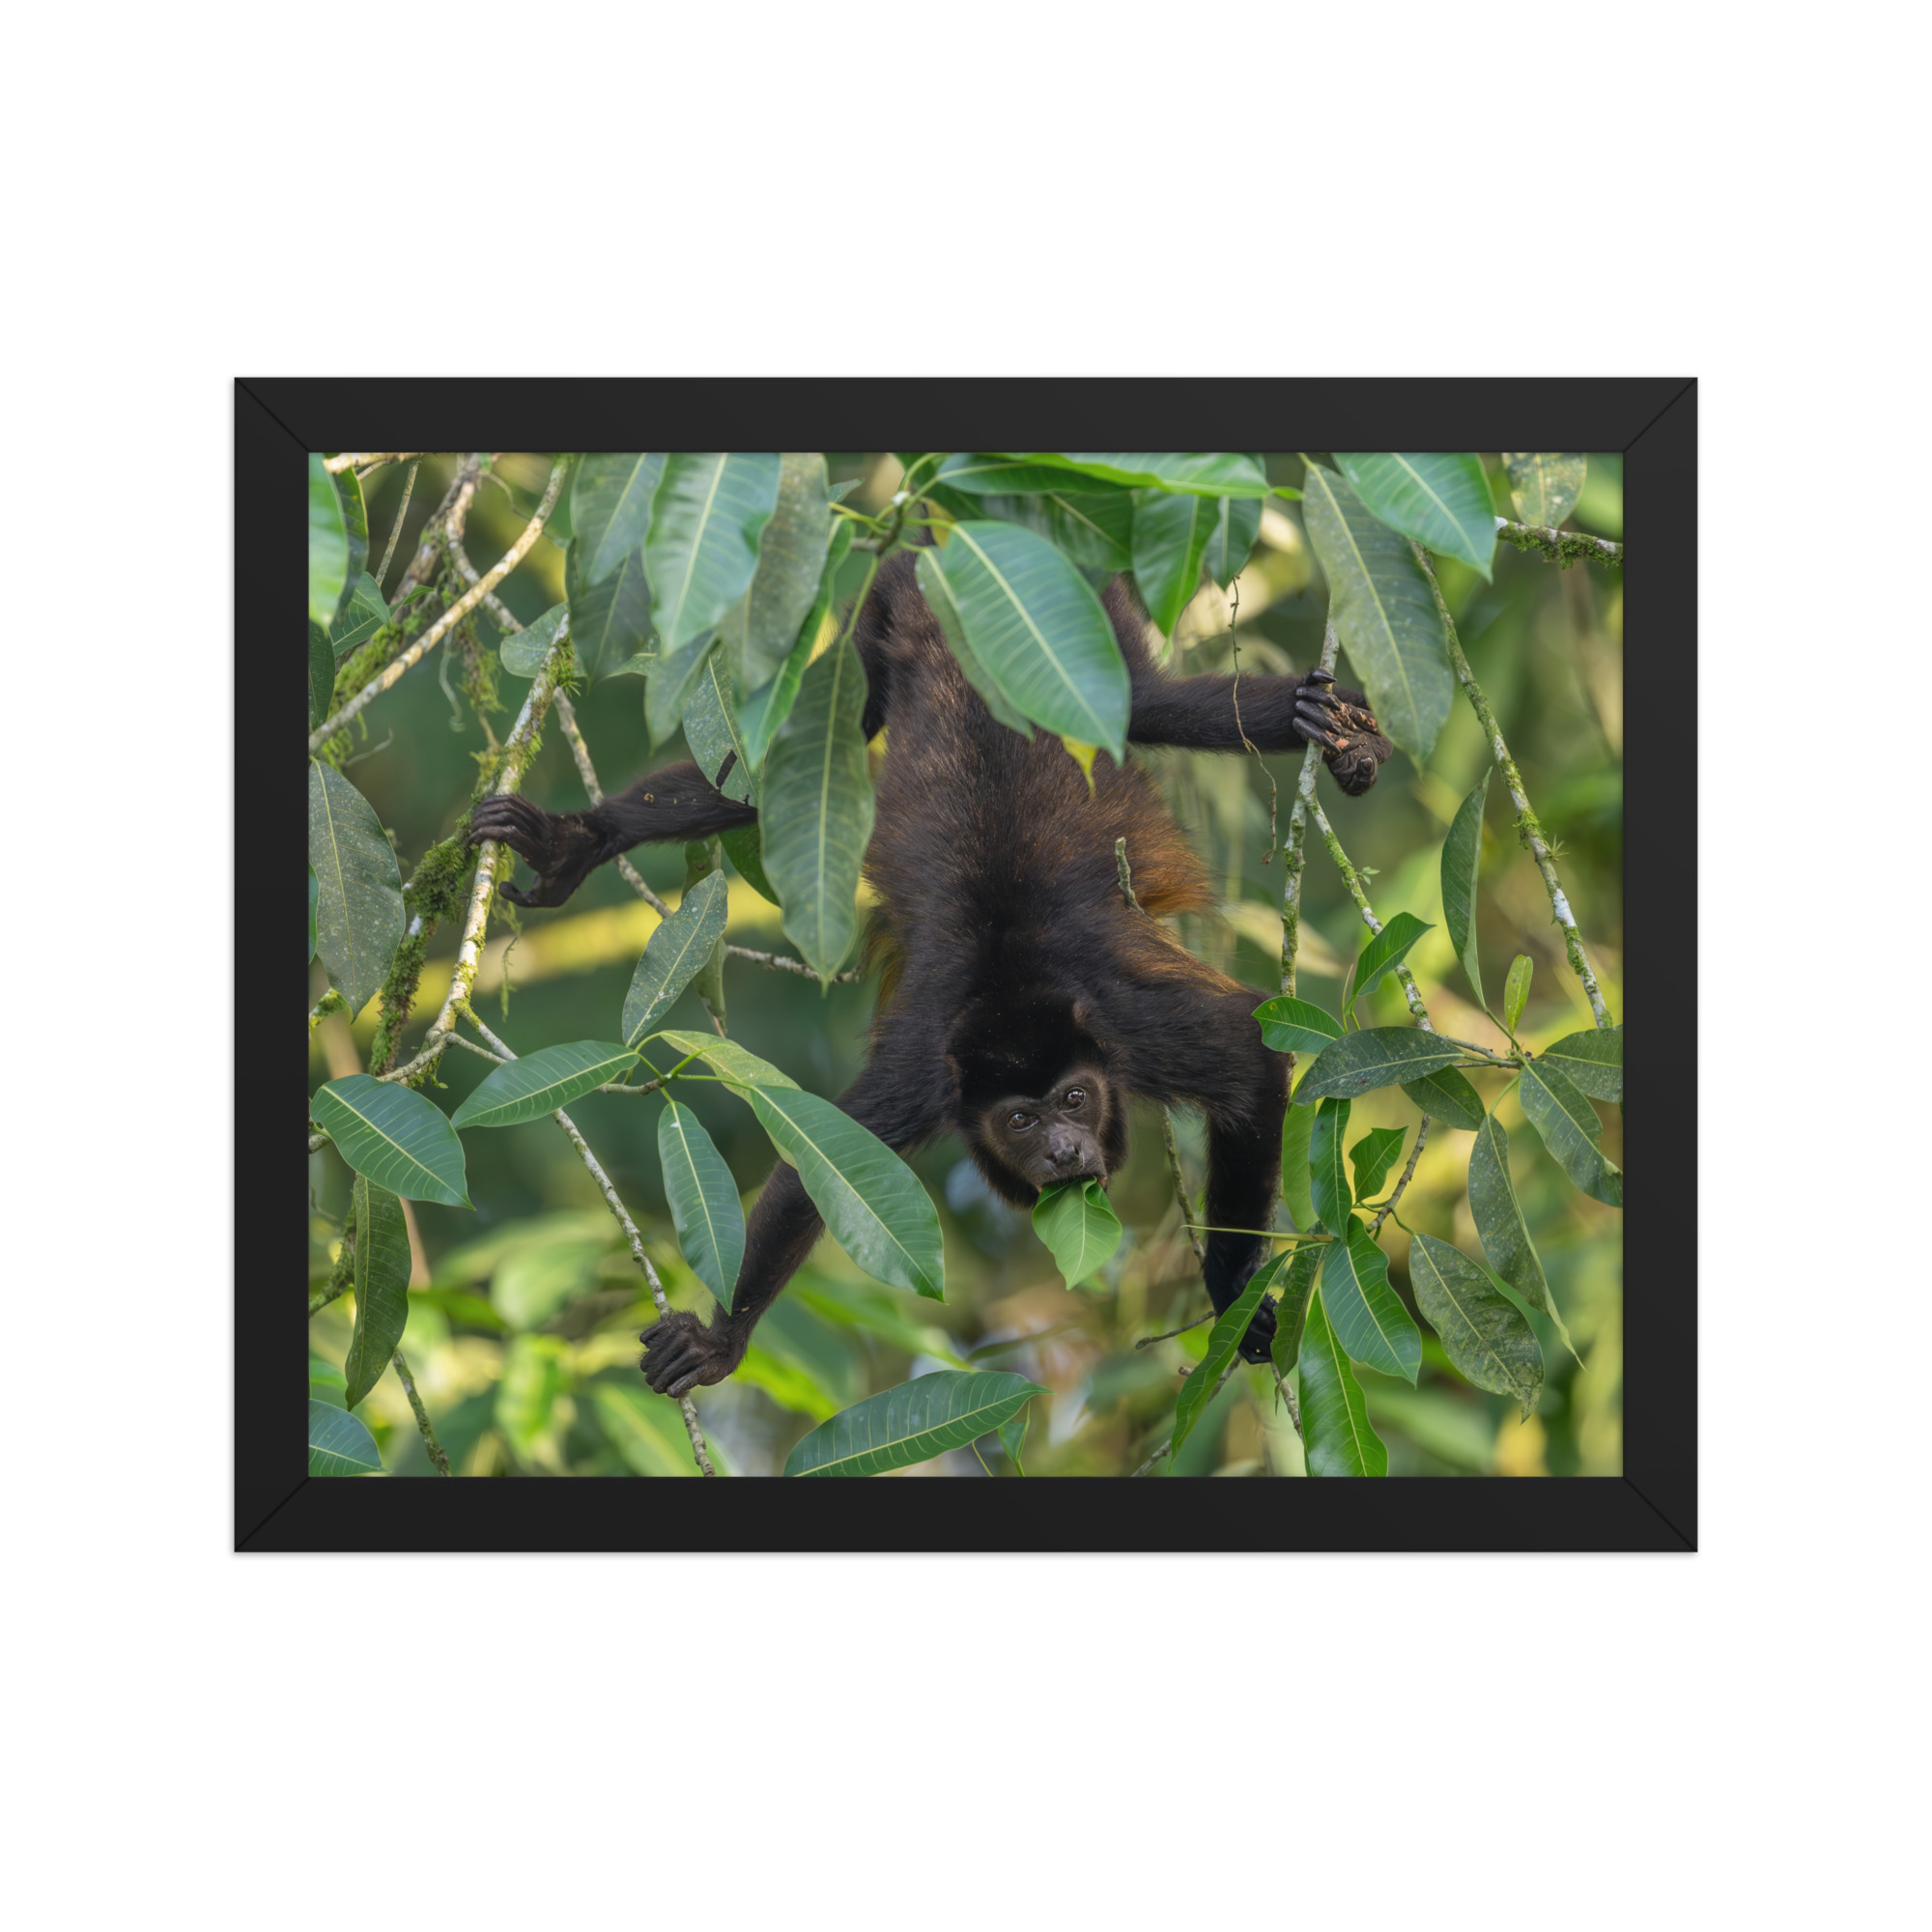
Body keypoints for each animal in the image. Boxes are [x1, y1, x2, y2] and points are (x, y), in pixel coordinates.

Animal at [470, 553, 1391, 1397]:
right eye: (1020, 1120)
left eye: (1075, 1099)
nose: (1062, 1150)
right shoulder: (925, 1074)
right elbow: (824, 1163)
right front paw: (722, 1341)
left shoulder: (1132, 1029)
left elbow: (1247, 1053)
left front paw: (1232, 1290)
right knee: (795, 759)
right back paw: (578, 842)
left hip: (1086, 626)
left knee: (1158, 705)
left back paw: (1334, 730)